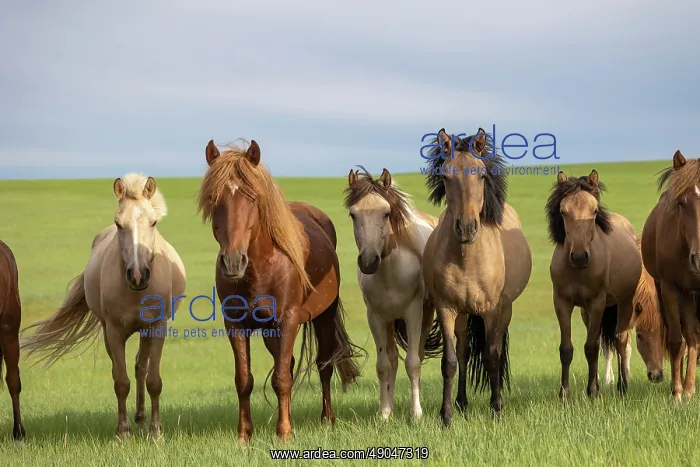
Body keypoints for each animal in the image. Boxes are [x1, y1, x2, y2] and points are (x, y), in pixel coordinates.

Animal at [20, 174, 186, 439]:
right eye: (119, 223)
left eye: (153, 222)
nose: (137, 275)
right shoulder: (114, 331)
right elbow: (121, 381)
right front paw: (123, 432)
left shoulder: (158, 327)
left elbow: (153, 381)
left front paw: (156, 432)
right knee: (126, 370)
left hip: (145, 332)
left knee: (141, 367)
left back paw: (142, 420)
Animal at [196, 138, 365, 443]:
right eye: (214, 199)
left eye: (253, 198)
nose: (233, 261)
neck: (261, 268)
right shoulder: (235, 325)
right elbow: (245, 379)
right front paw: (244, 435)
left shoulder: (288, 321)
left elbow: (282, 379)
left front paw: (284, 433)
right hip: (269, 333)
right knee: (286, 364)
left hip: (323, 317)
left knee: (323, 365)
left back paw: (327, 418)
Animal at [343, 166, 442, 422]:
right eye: (353, 215)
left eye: (386, 213)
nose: (369, 261)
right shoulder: (376, 318)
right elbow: (384, 366)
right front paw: (384, 413)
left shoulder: (413, 313)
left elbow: (413, 363)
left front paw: (416, 414)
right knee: (393, 359)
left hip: (424, 316)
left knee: (416, 355)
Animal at [422, 128, 532, 425]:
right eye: (446, 176)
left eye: (481, 175)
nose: (467, 228)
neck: (467, 259)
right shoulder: (446, 309)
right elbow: (449, 361)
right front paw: (446, 416)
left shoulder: (492, 311)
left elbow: (492, 357)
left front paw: (497, 410)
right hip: (463, 314)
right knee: (464, 352)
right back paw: (461, 403)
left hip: (504, 310)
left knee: (494, 351)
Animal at [546, 170, 642, 399]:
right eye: (563, 211)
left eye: (595, 210)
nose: (579, 257)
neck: (578, 271)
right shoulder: (562, 303)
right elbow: (567, 349)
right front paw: (564, 394)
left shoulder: (597, 303)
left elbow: (591, 347)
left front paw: (593, 392)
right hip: (586, 312)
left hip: (624, 303)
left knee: (620, 340)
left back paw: (622, 386)